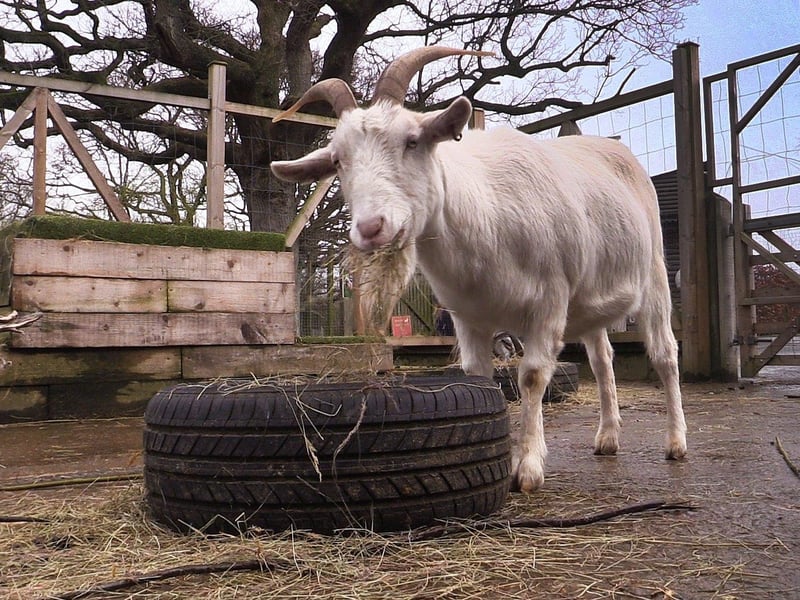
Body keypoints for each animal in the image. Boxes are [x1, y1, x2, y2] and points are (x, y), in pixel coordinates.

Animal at [270, 46, 687, 492]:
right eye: (337, 160)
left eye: (412, 140)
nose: (370, 228)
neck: (487, 220)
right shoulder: (467, 318)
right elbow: (481, 381)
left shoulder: (550, 301)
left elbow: (532, 376)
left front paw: (528, 467)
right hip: (590, 301)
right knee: (602, 358)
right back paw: (608, 437)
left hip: (654, 275)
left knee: (664, 354)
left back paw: (676, 442)